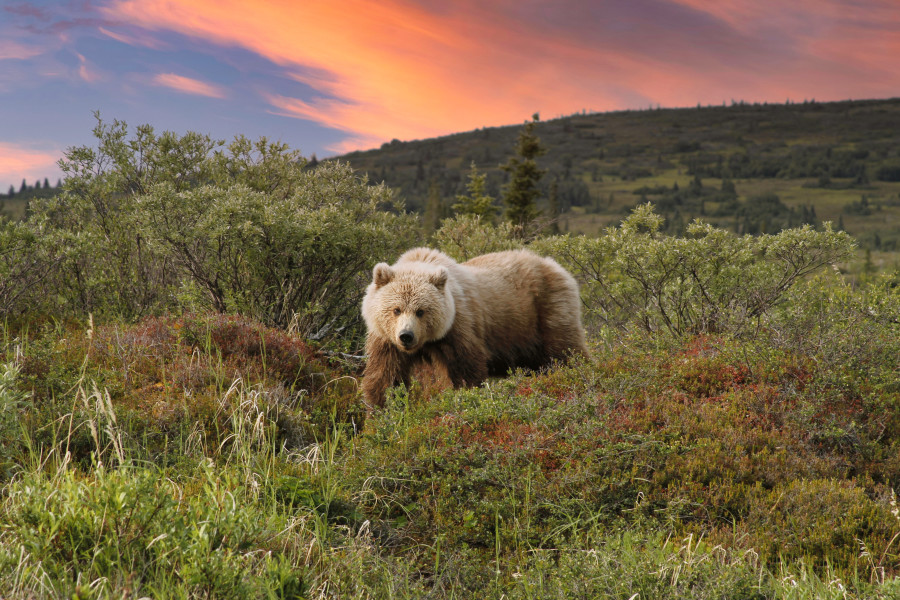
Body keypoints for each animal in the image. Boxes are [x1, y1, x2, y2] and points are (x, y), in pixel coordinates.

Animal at [362, 247, 588, 408]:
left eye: (421, 311)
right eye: (396, 309)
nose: (406, 336)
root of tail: (557, 266)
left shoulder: (458, 327)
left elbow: (465, 371)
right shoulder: (386, 340)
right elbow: (385, 376)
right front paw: (382, 409)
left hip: (547, 310)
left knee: (565, 352)